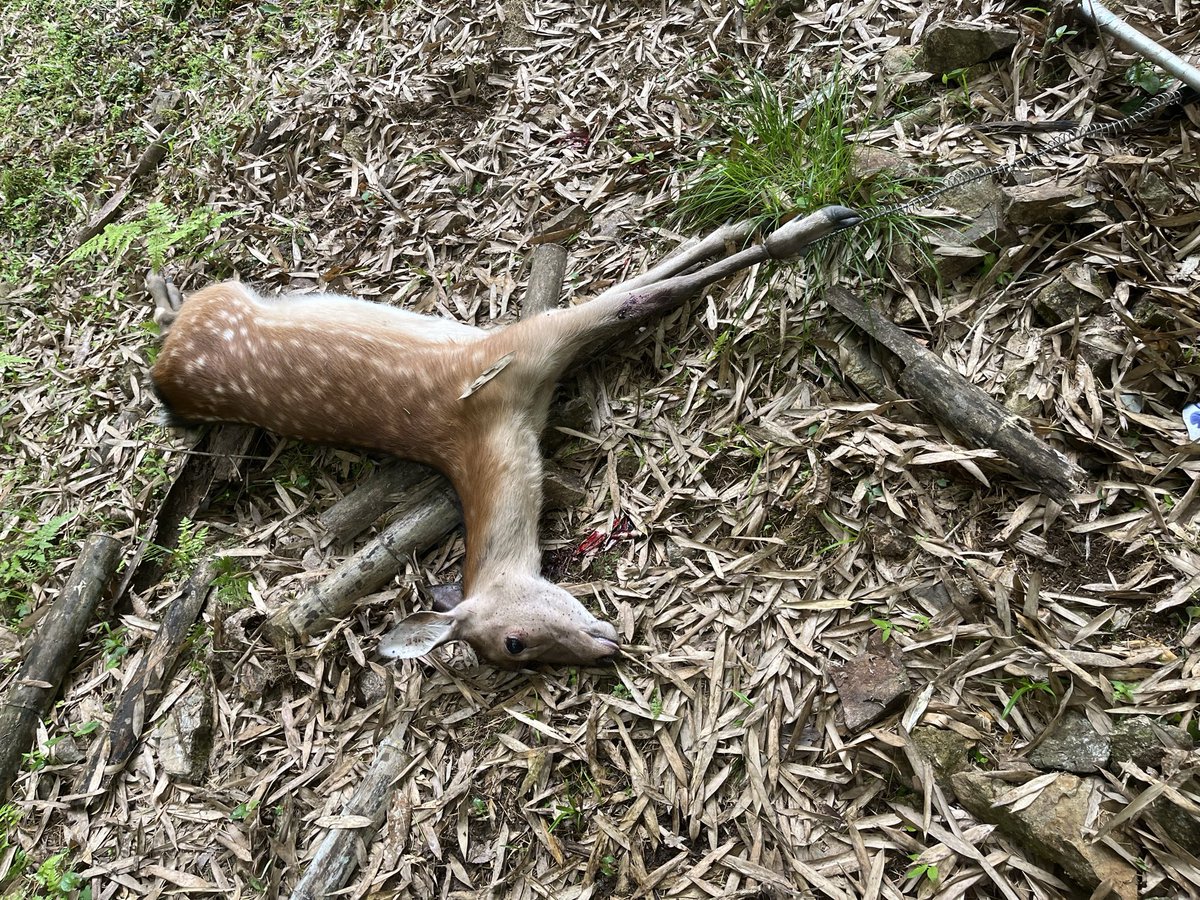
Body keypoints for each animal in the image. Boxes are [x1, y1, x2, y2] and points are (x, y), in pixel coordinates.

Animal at [147, 204, 861, 669]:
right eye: (514, 650)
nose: (606, 649)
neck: (494, 435)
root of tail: (164, 370)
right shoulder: (526, 356)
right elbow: (645, 292)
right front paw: (798, 221)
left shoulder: (516, 348)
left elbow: (646, 289)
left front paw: (807, 221)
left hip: (222, 299)